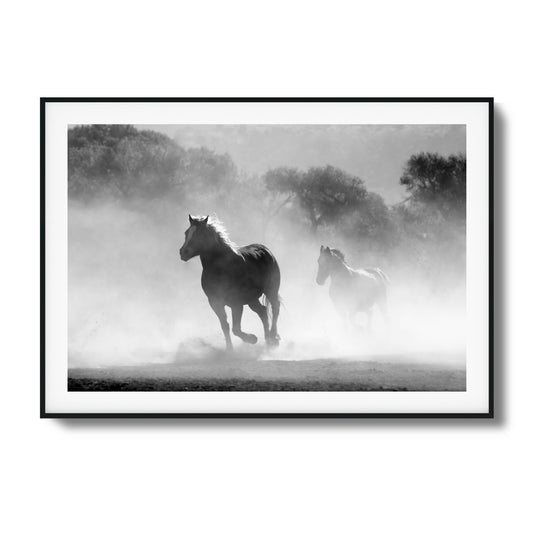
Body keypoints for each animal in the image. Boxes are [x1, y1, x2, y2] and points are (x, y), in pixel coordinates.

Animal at [179, 214, 280, 352]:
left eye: (200, 234)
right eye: (186, 232)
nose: (183, 252)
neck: (222, 268)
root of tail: (265, 250)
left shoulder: (236, 303)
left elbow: (235, 329)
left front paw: (252, 339)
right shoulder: (215, 302)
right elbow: (225, 325)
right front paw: (229, 349)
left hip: (271, 290)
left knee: (275, 308)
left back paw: (273, 337)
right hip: (252, 299)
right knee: (263, 312)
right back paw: (267, 340)